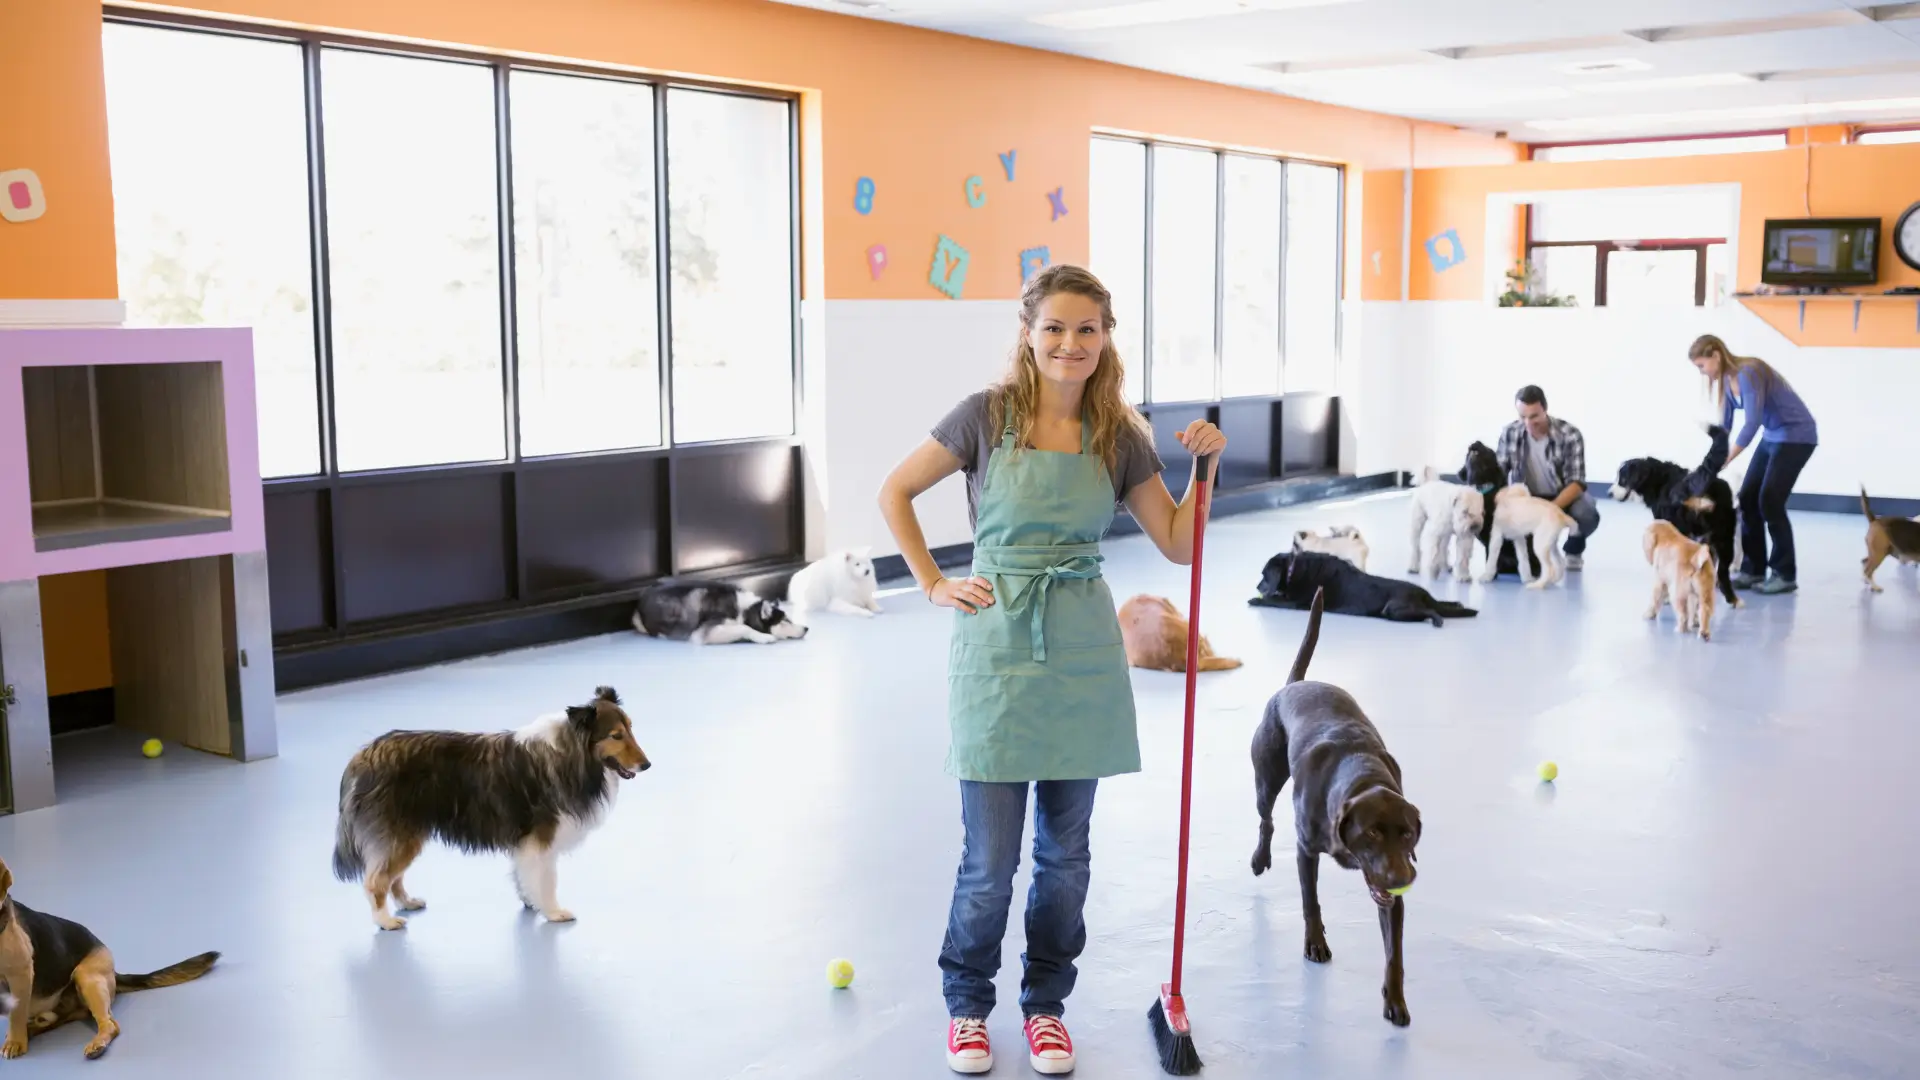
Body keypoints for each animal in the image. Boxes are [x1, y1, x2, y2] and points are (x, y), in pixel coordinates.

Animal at [0, 853, 218, 1053]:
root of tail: (114, 971)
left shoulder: (20, 973)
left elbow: (16, 1013)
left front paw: (15, 1042)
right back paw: (32, 1030)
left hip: (87, 977)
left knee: (111, 1024)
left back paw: (97, 1043)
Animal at [332, 680, 652, 926]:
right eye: (616, 735)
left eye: (631, 728)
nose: (647, 765)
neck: (571, 756)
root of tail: (362, 757)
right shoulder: (541, 840)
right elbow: (547, 880)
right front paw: (553, 912)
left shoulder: (525, 843)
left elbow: (524, 876)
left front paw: (531, 902)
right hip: (400, 835)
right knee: (376, 881)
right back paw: (385, 921)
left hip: (407, 836)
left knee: (393, 878)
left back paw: (408, 903)